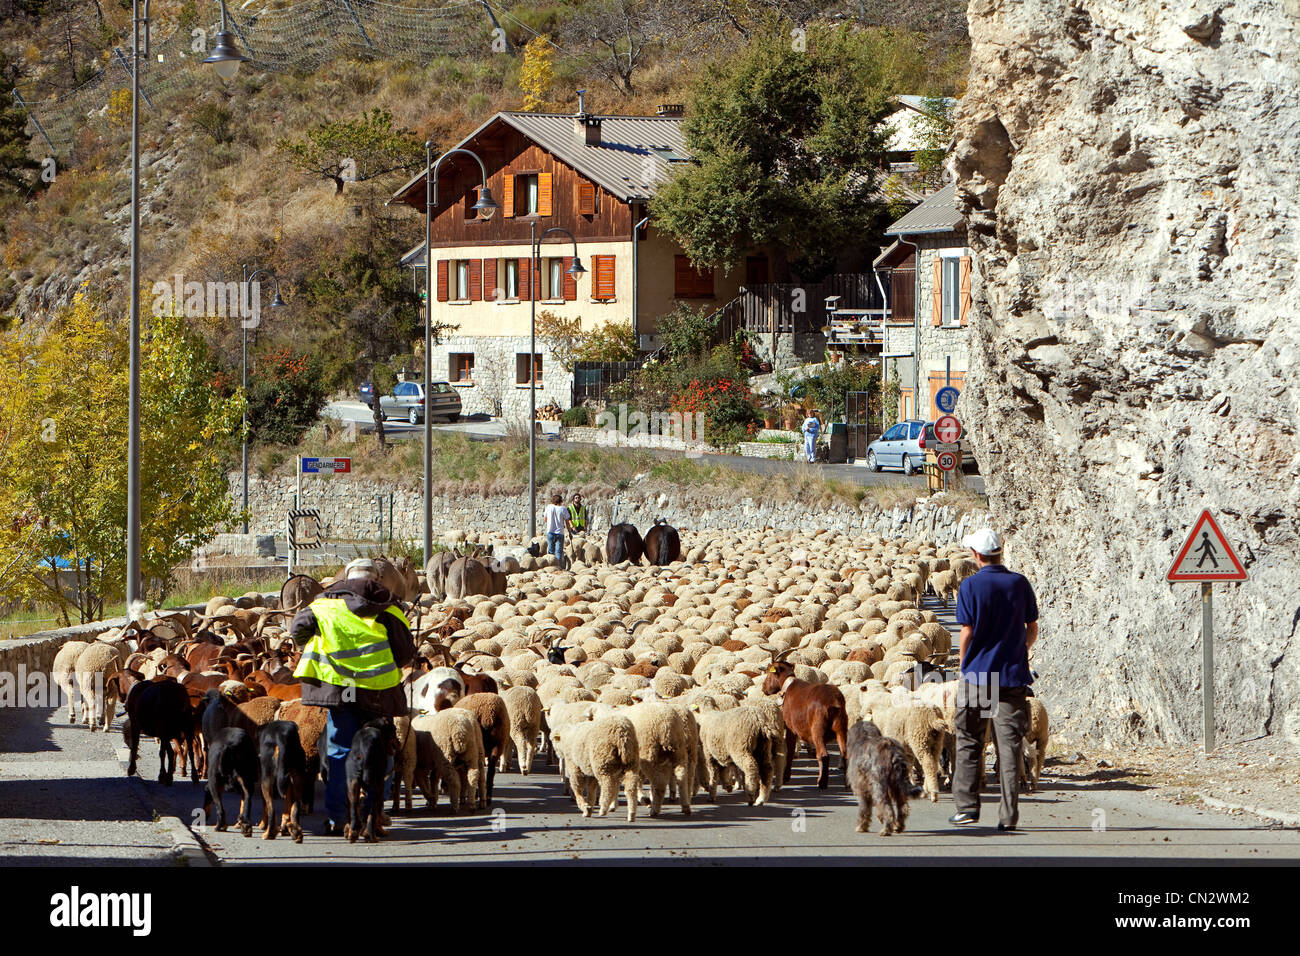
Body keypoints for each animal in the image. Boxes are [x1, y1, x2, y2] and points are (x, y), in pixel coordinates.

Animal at [759, 650, 852, 790]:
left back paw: (821, 782)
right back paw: (848, 784)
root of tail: (835, 702)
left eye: (769, 672)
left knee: (823, 755)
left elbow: (790, 751)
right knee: (845, 754)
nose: (764, 688)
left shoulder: (791, 729)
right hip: (841, 729)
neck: (788, 686)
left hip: (818, 731)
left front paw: (786, 777)